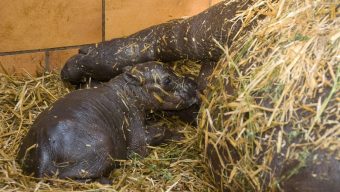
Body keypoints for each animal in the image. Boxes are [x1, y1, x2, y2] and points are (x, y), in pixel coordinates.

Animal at [17, 61, 198, 182]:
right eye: (167, 80)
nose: (193, 84)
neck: (129, 93)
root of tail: (44, 149)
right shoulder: (138, 140)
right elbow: (162, 129)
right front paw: (180, 136)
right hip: (103, 147)